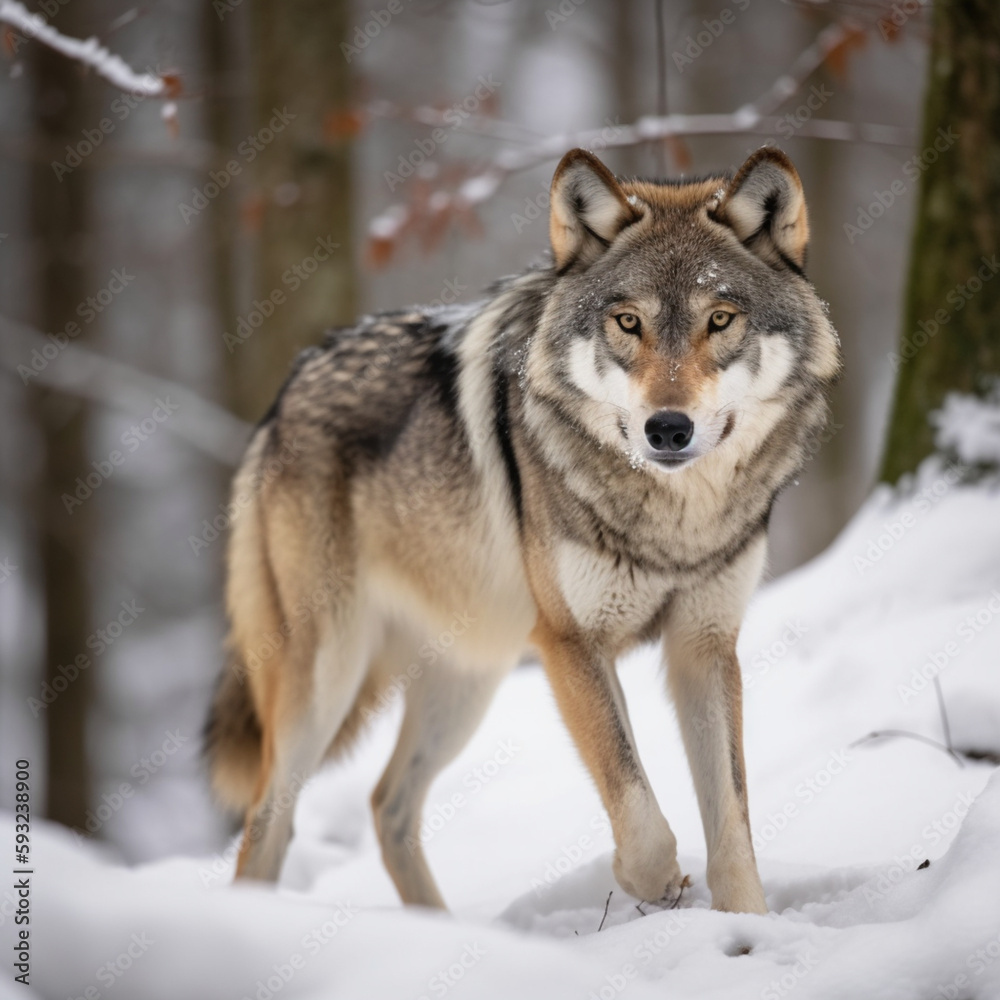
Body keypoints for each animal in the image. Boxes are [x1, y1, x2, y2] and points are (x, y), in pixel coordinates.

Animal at [205, 146, 841, 914]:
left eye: (720, 319)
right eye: (628, 322)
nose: (668, 429)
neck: (675, 521)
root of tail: (284, 395)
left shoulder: (705, 645)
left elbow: (733, 823)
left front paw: (748, 923)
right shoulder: (571, 642)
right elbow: (636, 801)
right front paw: (653, 884)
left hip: (466, 680)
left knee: (388, 804)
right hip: (326, 677)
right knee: (268, 820)